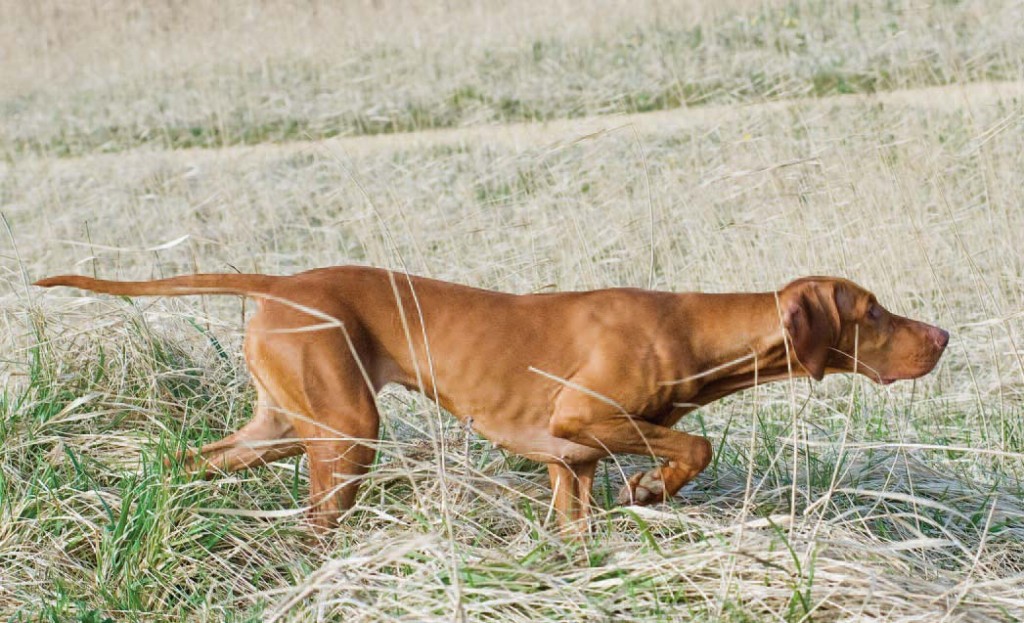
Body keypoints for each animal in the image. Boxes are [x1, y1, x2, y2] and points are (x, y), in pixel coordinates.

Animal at [36, 264, 946, 532]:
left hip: (283, 427)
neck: (691, 327)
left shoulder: (569, 463)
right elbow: (694, 443)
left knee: (188, 458)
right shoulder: (585, 420)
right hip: (345, 433)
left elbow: (577, 526)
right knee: (317, 519)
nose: (941, 336)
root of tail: (280, 282)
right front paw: (653, 486)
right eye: (873, 311)